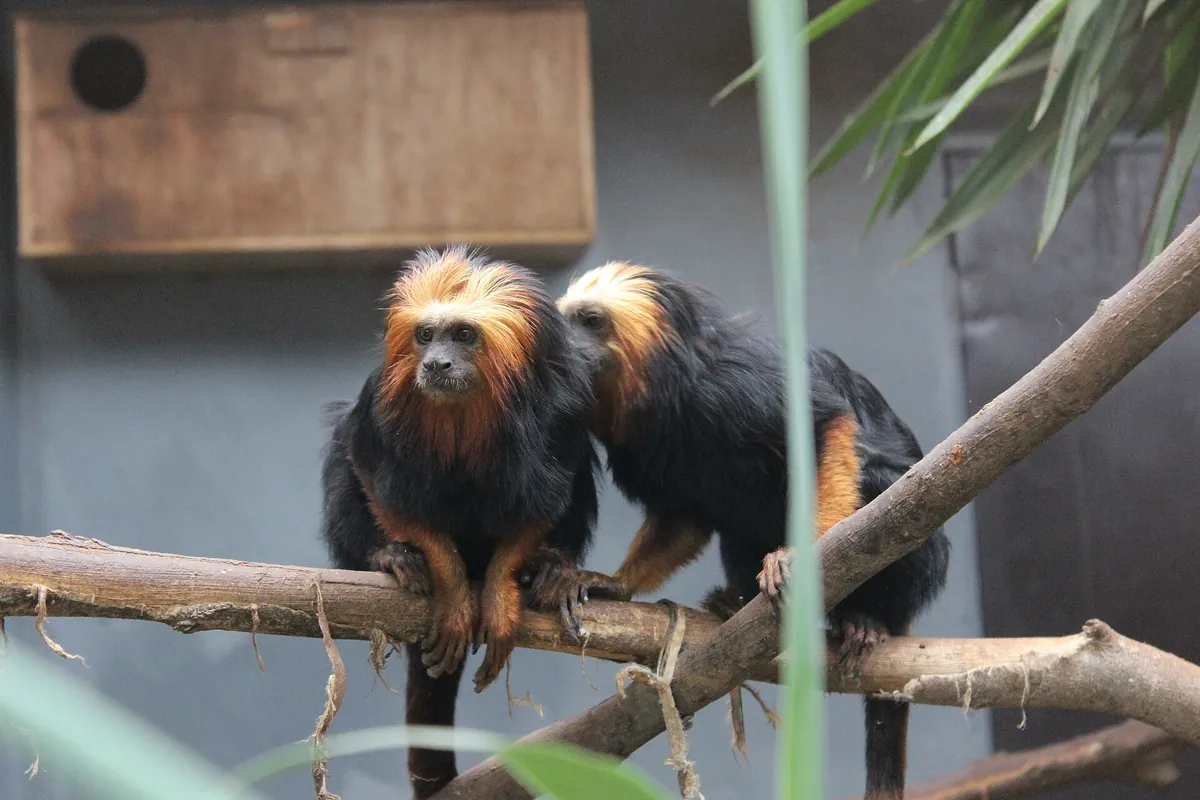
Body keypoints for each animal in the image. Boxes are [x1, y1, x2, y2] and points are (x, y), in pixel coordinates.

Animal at [319, 246, 599, 798]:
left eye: (464, 335)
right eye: (426, 335)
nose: (437, 363)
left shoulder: (565, 407)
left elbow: (546, 501)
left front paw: (499, 598)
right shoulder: (379, 403)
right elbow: (375, 475)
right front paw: (449, 591)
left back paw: (554, 570)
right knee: (341, 453)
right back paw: (387, 558)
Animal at [554, 261, 950, 800]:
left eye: (591, 322)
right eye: (565, 324)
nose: (570, 349)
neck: (672, 391)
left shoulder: (738, 384)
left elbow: (826, 427)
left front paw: (797, 558)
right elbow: (684, 517)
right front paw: (615, 583)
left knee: (880, 480)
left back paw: (868, 618)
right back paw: (733, 602)